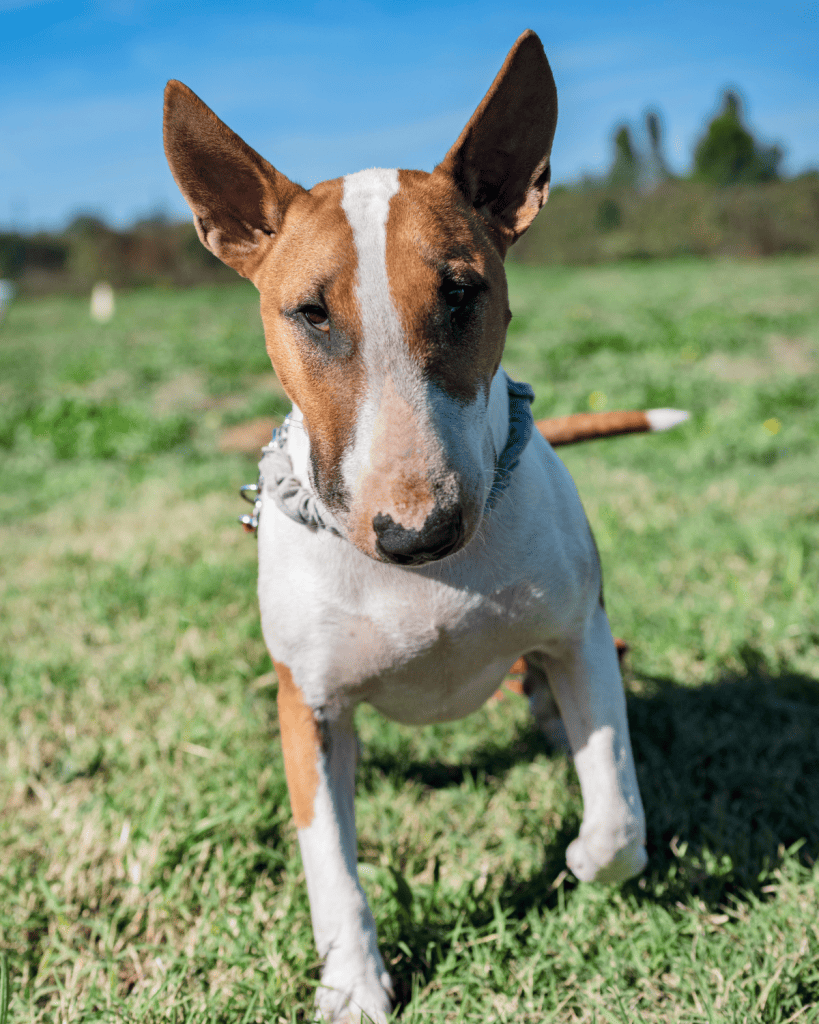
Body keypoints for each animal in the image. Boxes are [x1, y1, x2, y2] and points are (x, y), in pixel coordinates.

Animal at [161, 32, 683, 1024]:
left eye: (461, 294)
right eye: (310, 312)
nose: (418, 532)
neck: (423, 584)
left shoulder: (575, 633)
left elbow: (618, 810)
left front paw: (584, 855)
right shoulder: (311, 711)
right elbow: (331, 865)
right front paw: (355, 986)